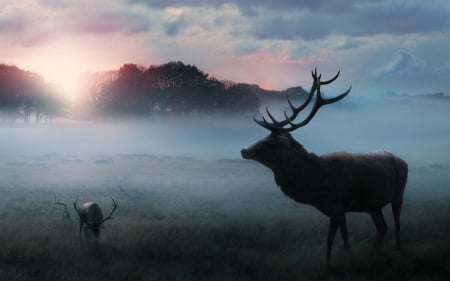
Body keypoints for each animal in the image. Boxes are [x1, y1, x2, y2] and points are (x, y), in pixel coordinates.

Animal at [241, 69, 410, 266]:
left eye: (270, 143)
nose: (244, 150)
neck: (318, 185)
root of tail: (403, 161)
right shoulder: (339, 210)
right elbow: (345, 239)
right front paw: (347, 258)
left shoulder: (337, 206)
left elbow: (330, 240)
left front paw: (329, 265)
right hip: (373, 205)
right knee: (382, 227)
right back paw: (376, 252)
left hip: (398, 194)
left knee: (397, 224)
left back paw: (397, 249)